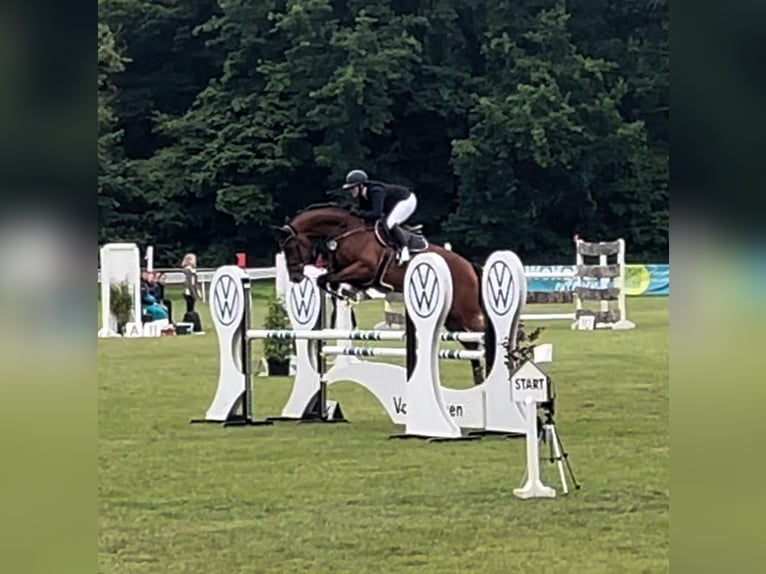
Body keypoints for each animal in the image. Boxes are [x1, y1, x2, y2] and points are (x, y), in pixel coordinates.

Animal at [278, 205, 486, 384]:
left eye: (290, 248)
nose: (295, 277)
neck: (347, 232)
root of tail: (469, 266)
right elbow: (326, 279)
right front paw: (347, 293)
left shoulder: (365, 268)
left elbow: (327, 278)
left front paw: (345, 294)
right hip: (453, 318)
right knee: (472, 346)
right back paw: (479, 381)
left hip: (466, 312)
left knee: (480, 334)